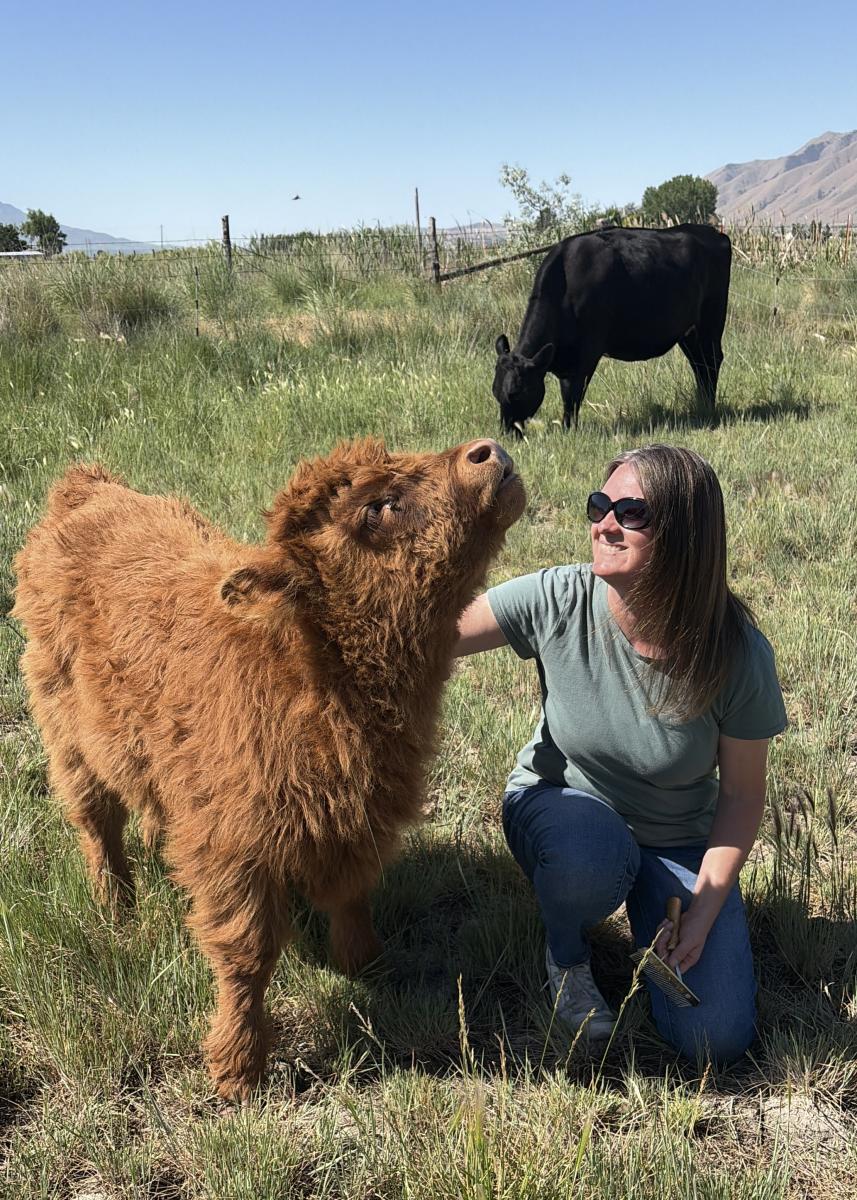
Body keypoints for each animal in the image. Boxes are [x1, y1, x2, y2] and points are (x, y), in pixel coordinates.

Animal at [12, 438, 525, 1102]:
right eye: (376, 506)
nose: (486, 452)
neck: (310, 676)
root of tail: (87, 489)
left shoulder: (357, 819)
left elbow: (353, 895)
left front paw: (366, 964)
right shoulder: (234, 847)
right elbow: (246, 955)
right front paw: (238, 1069)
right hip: (63, 725)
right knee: (95, 821)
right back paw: (116, 907)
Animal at [493, 224, 732, 436]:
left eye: (515, 393)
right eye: (495, 391)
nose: (508, 433)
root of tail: (712, 232)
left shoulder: (586, 353)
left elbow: (572, 393)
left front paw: (569, 430)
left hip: (711, 319)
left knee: (711, 360)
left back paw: (708, 409)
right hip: (689, 331)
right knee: (699, 363)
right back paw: (702, 405)